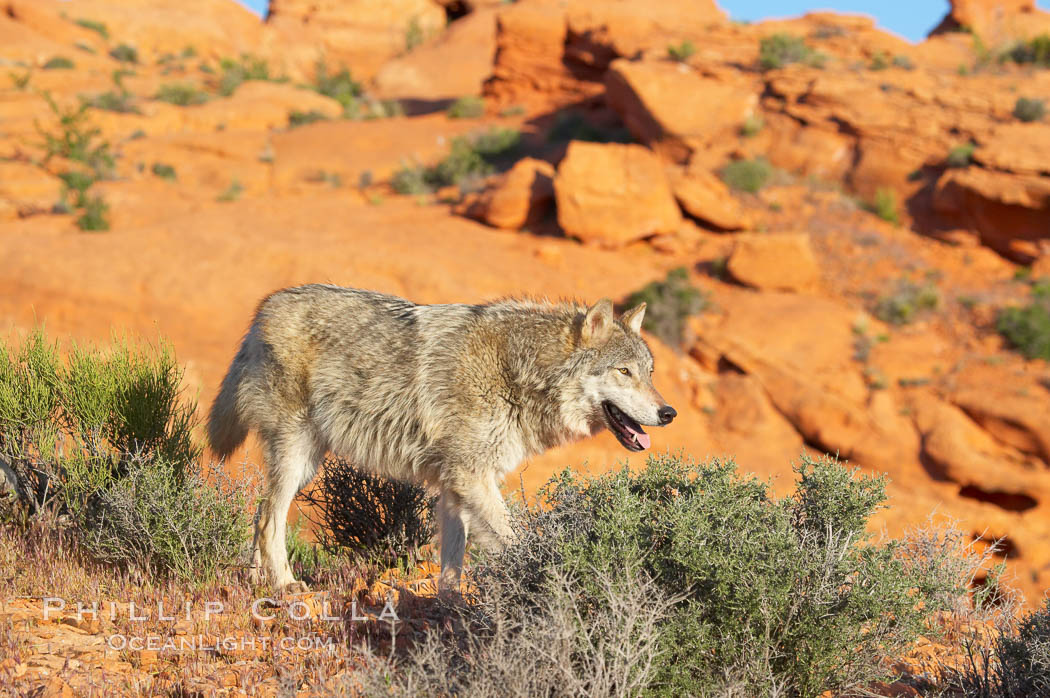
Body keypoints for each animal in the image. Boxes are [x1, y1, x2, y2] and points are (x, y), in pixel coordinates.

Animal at [207, 284, 676, 591]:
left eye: (650, 372)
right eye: (624, 372)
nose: (668, 413)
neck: (518, 372)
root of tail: (264, 309)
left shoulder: (456, 486)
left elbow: (453, 561)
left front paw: (448, 608)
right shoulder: (471, 478)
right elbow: (516, 543)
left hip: (306, 463)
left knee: (259, 513)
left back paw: (255, 584)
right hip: (297, 456)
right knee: (269, 519)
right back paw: (285, 585)